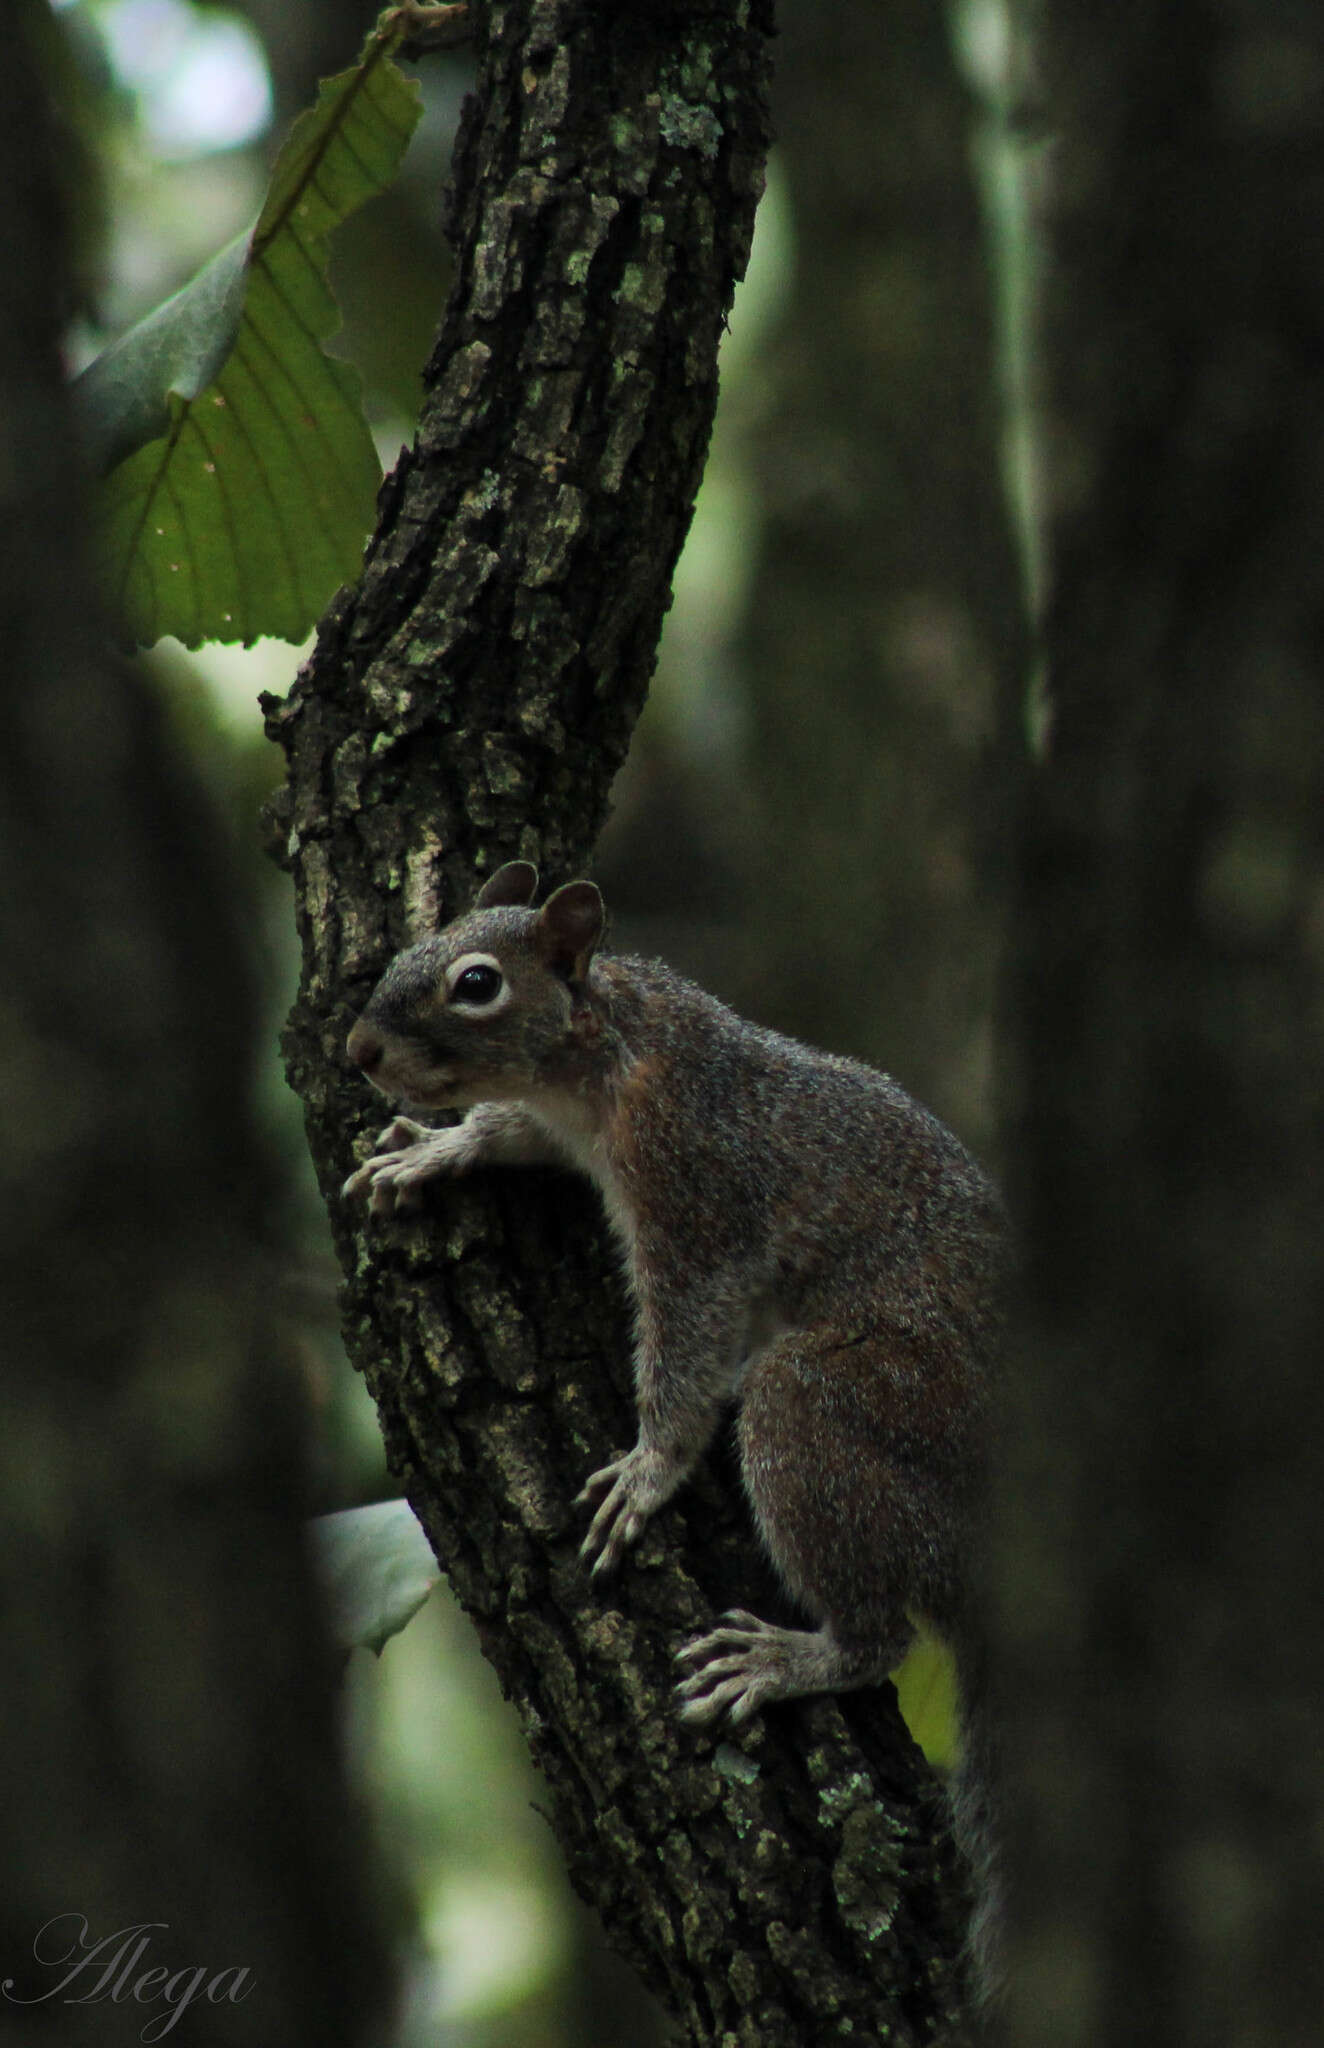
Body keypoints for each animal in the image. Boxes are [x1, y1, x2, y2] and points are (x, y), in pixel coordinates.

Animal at [348, 856, 1012, 1990]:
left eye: (476, 983)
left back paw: (788, 1659)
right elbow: (510, 1133)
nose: (357, 1050)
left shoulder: (693, 1187)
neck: (603, 1047)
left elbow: (689, 1341)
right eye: (410, 946)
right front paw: (440, 1150)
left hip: (842, 1408)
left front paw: (650, 1468)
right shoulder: (563, 1128)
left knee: (877, 1624)